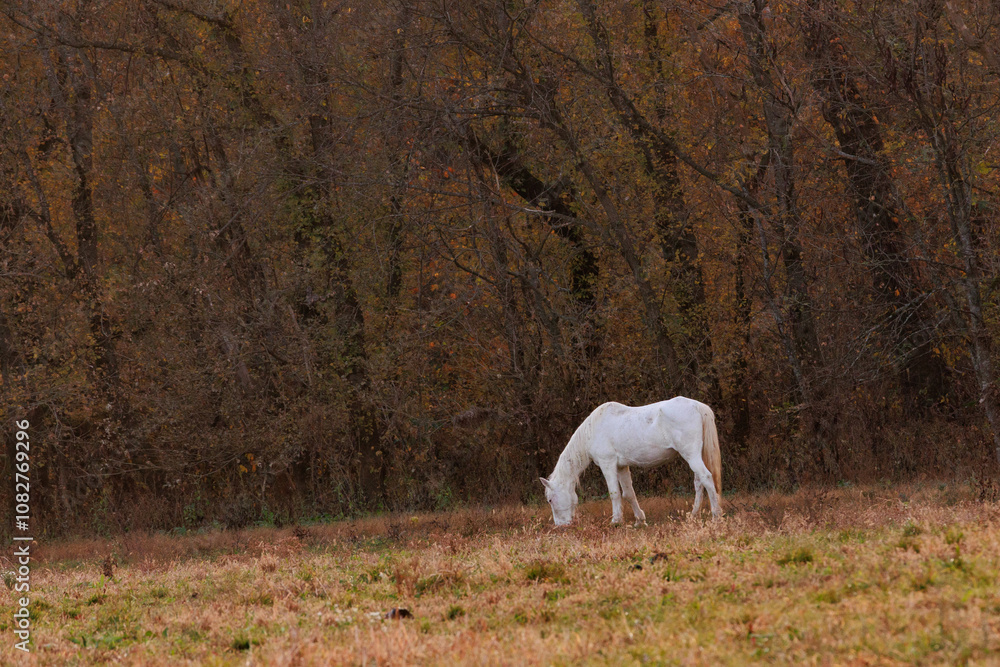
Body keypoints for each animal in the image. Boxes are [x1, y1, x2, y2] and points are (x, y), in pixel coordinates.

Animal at [539, 397, 722, 526]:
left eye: (550, 500)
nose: (561, 526)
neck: (593, 429)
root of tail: (698, 406)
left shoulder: (608, 464)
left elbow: (614, 493)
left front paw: (616, 521)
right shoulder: (621, 466)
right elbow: (629, 494)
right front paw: (640, 520)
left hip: (691, 454)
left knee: (706, 478)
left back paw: (716, 516)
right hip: (694, 455)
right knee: (699, 483)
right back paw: (694, 516)